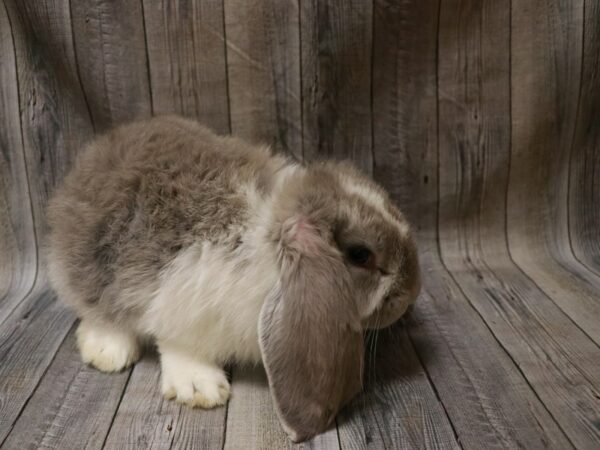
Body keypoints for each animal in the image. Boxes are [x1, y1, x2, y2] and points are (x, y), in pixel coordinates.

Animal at [45, 114, 422, 442]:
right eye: (360, 255)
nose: (412, 291)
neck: (267, 238)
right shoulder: (181, 305)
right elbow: (178, 345)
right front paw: (200, 388)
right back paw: (107, 351)